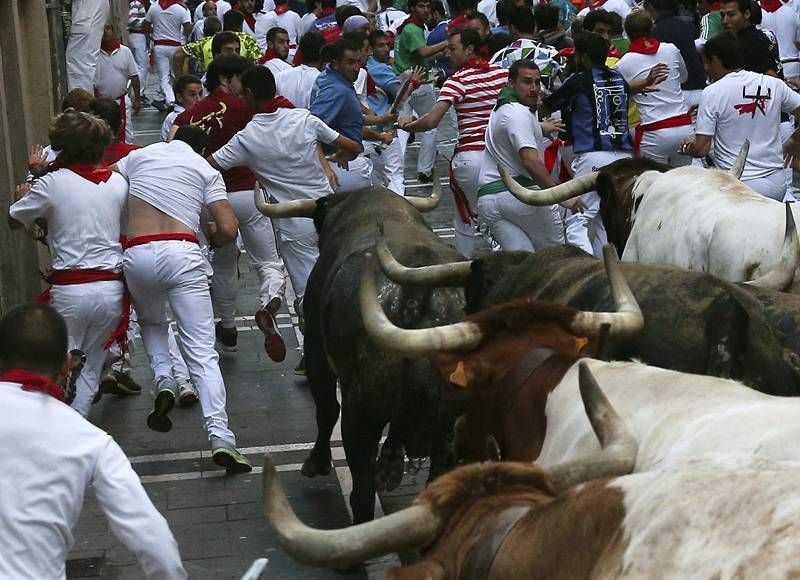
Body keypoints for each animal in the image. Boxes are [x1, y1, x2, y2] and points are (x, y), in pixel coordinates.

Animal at [256, 174, 466, 524]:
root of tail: (418, 291)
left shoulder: (317, 353)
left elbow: (326, 408)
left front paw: (317, 462)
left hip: (362, 408)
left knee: (362, 492)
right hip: (451, 419)